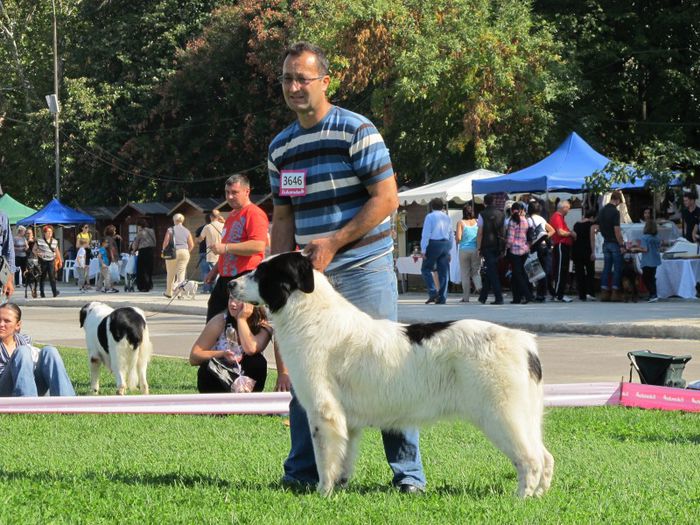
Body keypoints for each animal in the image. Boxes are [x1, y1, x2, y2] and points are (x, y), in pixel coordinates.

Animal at [232, 252, 556, 498]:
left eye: (262, 273)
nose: (230, 283)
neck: (309, 312)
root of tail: (525, 343)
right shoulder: (347, 421)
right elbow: (344, 458)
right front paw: (340, 488)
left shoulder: (323, 412)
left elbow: (326, 458)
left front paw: (323, 493)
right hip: (525, 415)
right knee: (545, 456)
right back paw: (539, 496)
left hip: (501, 415)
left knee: (530, 459)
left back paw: (521, 499)